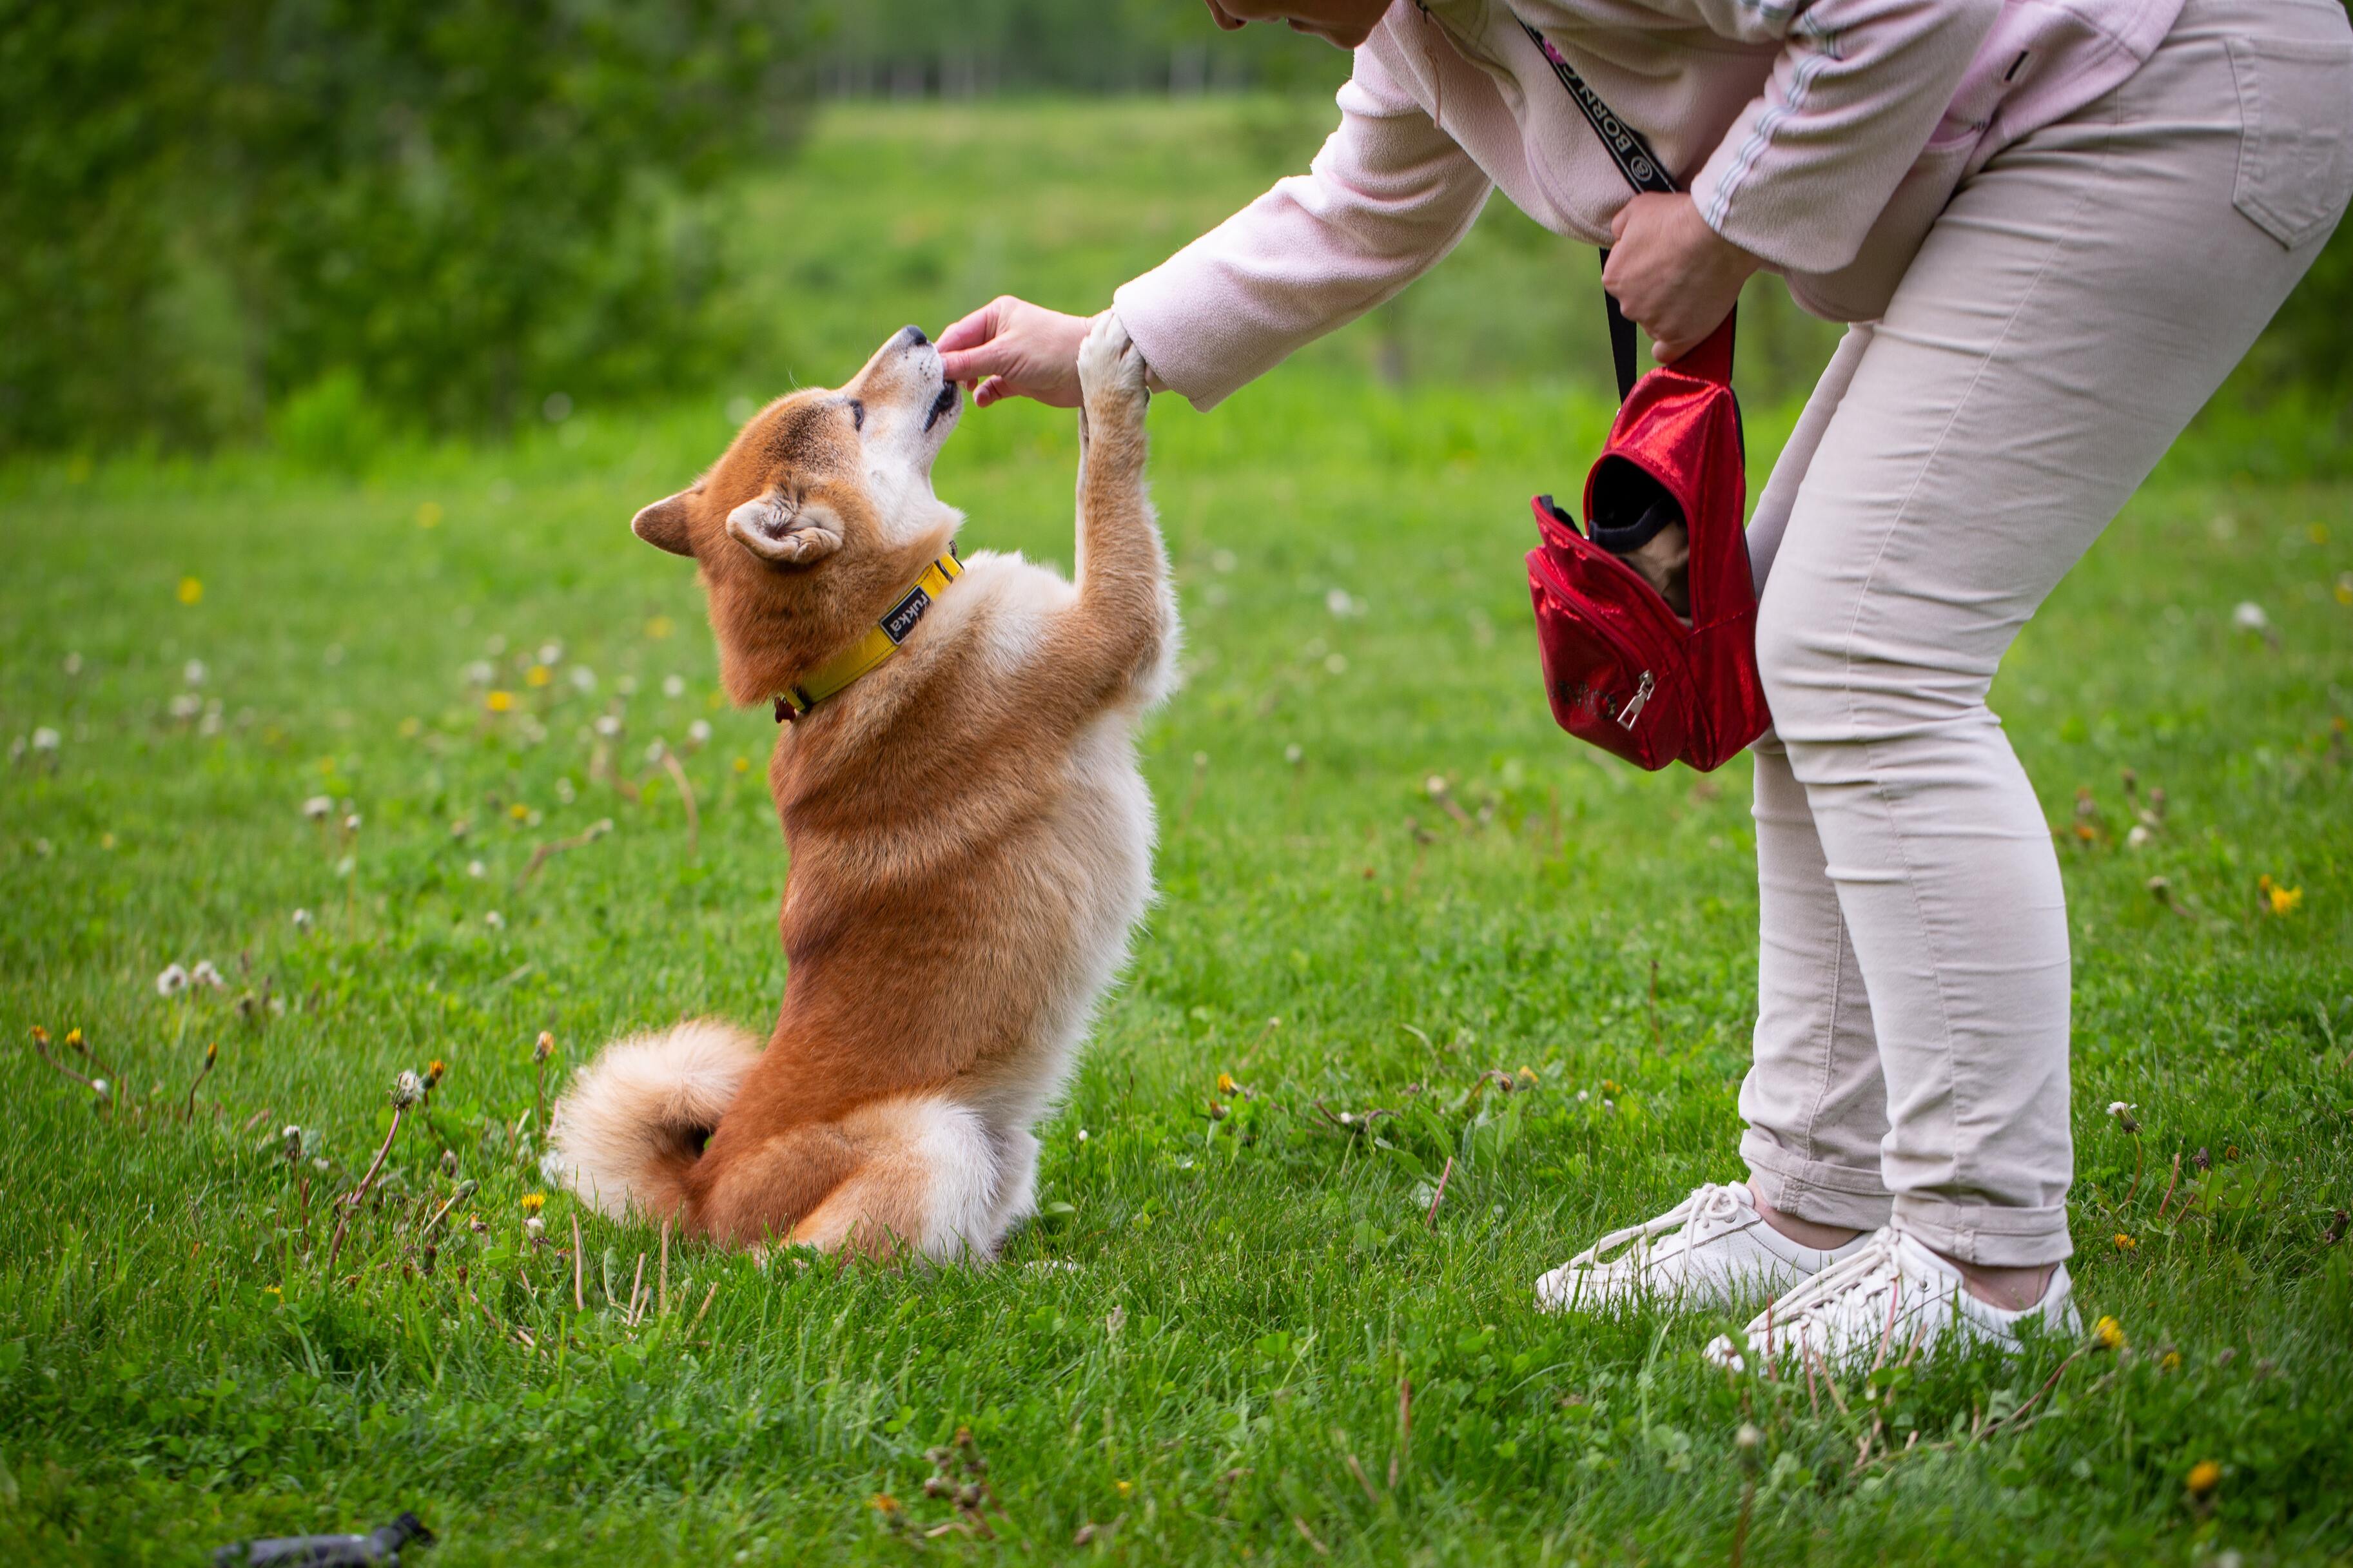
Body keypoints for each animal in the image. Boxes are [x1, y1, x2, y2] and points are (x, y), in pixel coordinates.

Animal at [548, 315, 1176, 1260]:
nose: (917, 330)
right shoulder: (1114, 626)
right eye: (849, 409)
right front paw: (1104, 369)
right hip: (934, 1139)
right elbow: (1103, 477)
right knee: (831, 1266)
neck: (879, 637)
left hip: (1001, 1150)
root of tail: (698, 1202)